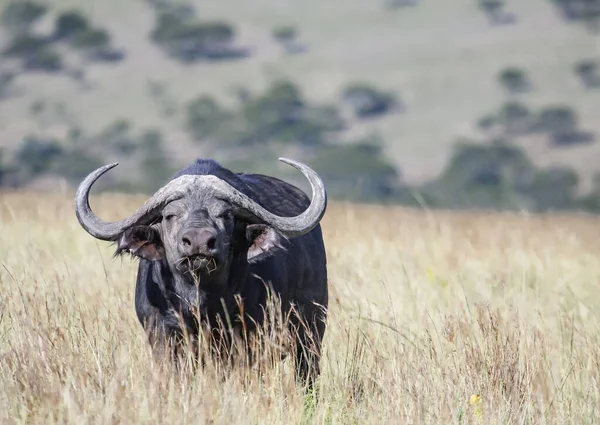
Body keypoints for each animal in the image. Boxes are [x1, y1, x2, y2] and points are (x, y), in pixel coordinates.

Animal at [75, 157, 330, 386]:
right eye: (170, 215)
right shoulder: (162, 335)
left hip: (311, 336)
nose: (199, 241)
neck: (200, 302)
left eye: (226, 215)